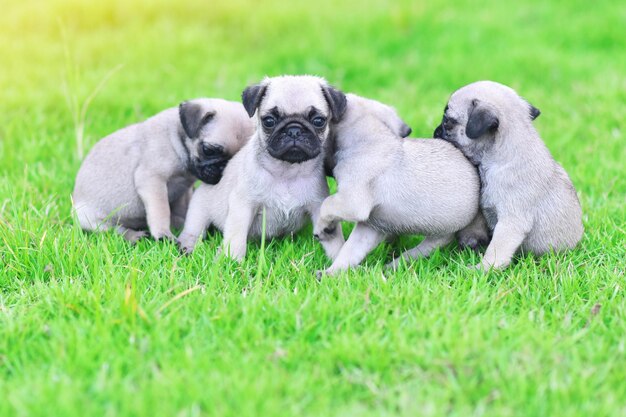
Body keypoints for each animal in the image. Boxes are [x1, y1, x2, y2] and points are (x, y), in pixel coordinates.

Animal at [71, 98, 251, 240]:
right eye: (209, 150)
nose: (224, 167)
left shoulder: (183, 191)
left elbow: (181, 210)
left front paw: (182, 224)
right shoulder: (152, 180)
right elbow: (161, 210)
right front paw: (163, 234)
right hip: (90, 218)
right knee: (114, 230)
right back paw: (134, 236)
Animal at [177, 73, 346, 258]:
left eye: (318, 121)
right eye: (269, 121)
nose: (294, 130)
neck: (287, 172)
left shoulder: (319, 207)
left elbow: (335, 240)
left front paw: (340, 259)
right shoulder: (243, 205)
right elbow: (236, 237)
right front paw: (232, 260)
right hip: (199, 210)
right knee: (194, 230)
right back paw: (187, 246)